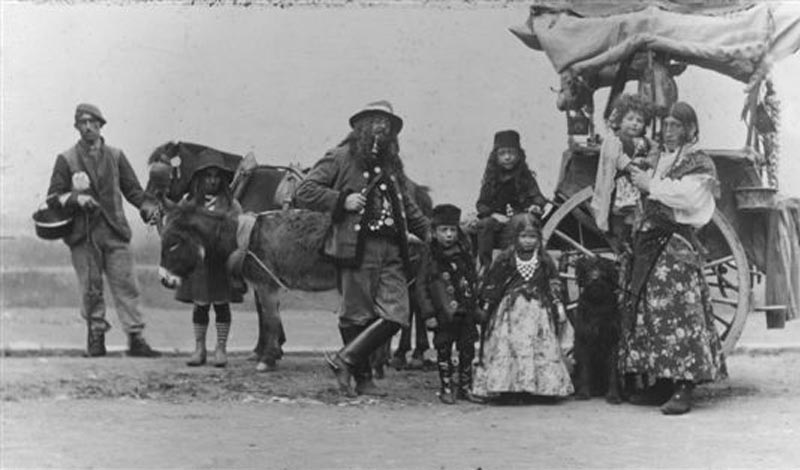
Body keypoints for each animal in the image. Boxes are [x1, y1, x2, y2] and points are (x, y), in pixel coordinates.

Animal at [572, 258, 620, 404]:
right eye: (588, 268)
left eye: (603, 269)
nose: (595, 278)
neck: (597, 303)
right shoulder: (583, 341)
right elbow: (584, 370)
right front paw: (583, 393)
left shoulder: (612, 341)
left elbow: (613, 371)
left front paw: (614, 395)